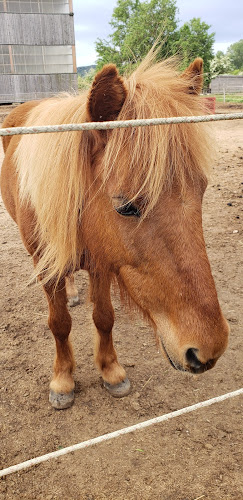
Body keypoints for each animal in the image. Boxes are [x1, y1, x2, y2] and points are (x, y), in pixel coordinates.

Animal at [0, 52, 230, 408]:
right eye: (125, 206)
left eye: (202, 190)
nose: (208, 349)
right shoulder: (45, 265)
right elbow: (59, 323)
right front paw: (62, 380)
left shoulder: (102, 263)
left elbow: (104, 318)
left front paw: (111, 371)